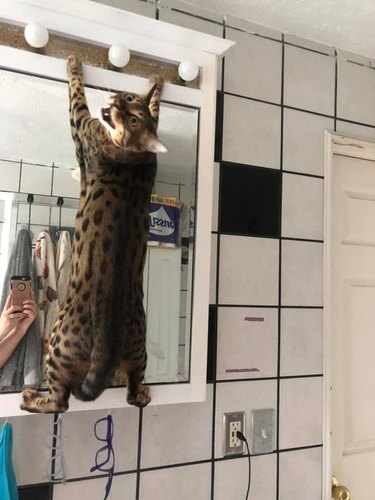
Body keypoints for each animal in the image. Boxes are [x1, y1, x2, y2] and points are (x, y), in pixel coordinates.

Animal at [20, 54, 167, 414]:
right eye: (128, 101)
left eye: (131, 119)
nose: (115, 102)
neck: (135, 157)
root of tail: (108, 342)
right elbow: (157, 107)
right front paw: (157, 82)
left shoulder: (81, 126)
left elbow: (76, 93)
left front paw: (74, 63)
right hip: (139, 351)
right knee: (132, 392)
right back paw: (144, 393)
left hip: (57, 347)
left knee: (60, 402)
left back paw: (31, 398)